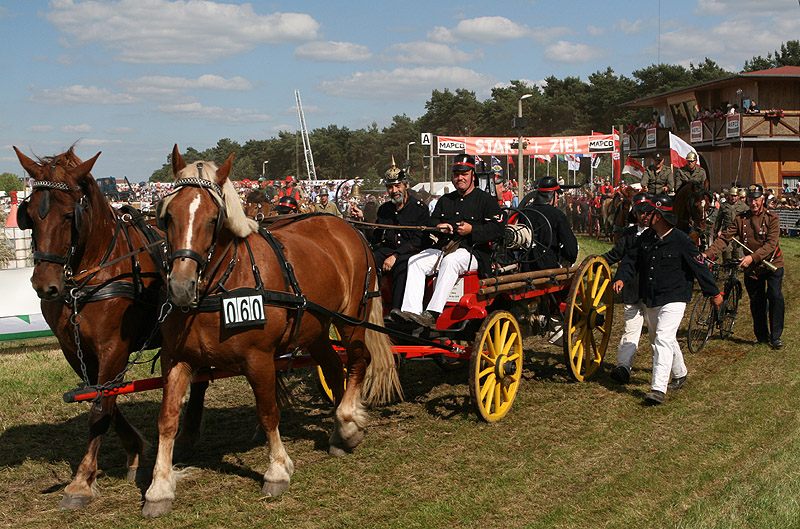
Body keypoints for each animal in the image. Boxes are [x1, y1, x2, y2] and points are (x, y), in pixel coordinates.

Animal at [12, 146, 208, 510]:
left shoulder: (113, 347)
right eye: (28, 214)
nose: (45, 285)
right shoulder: (75, 351)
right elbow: (103, 399)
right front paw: (135, 451)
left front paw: (80, 482)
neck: (92, 276)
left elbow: (99, 408)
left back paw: (189, 433)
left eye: (69, 215)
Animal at [144, 144, 400, 516]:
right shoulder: (175, 358)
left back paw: (348, 420)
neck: (222, 285)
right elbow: (167, 419)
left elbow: (268, 412)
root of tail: (344, 225)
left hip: (351, 319)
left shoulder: (260, 358)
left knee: (357, 361)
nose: (180, 286)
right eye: (168, 216)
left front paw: (277, 469)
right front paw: (159, 487)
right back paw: (341, 428)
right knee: (333, 367)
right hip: (316, 328)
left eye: (213, 218)